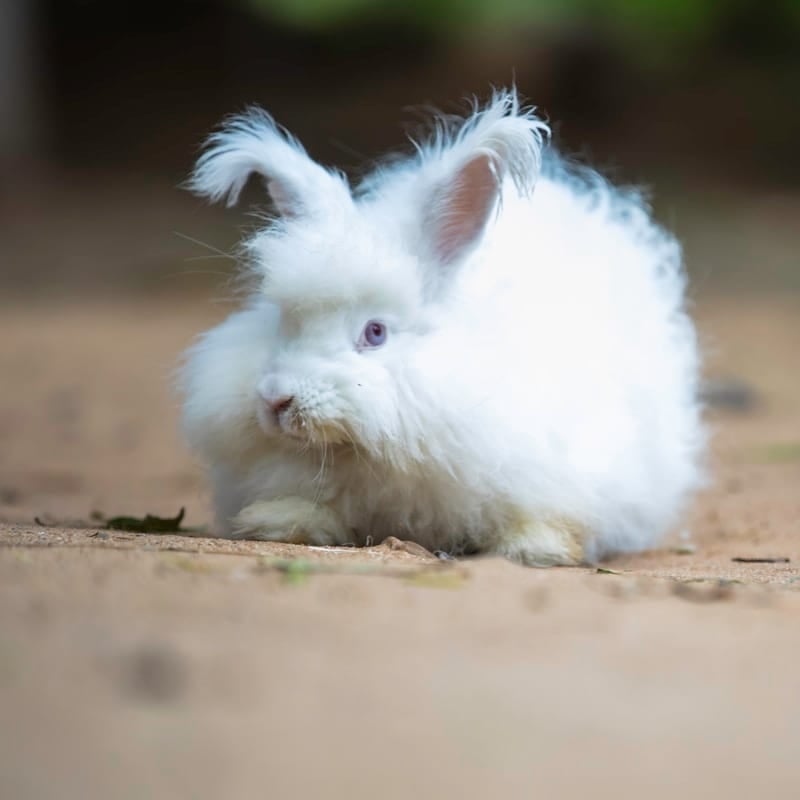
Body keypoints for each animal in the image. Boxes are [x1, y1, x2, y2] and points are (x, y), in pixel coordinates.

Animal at [179, 88, 704, 566]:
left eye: (375, 332)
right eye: (284, 322)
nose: (275, 400)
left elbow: (545, 517)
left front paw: (535, 549)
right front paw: (279, 523)